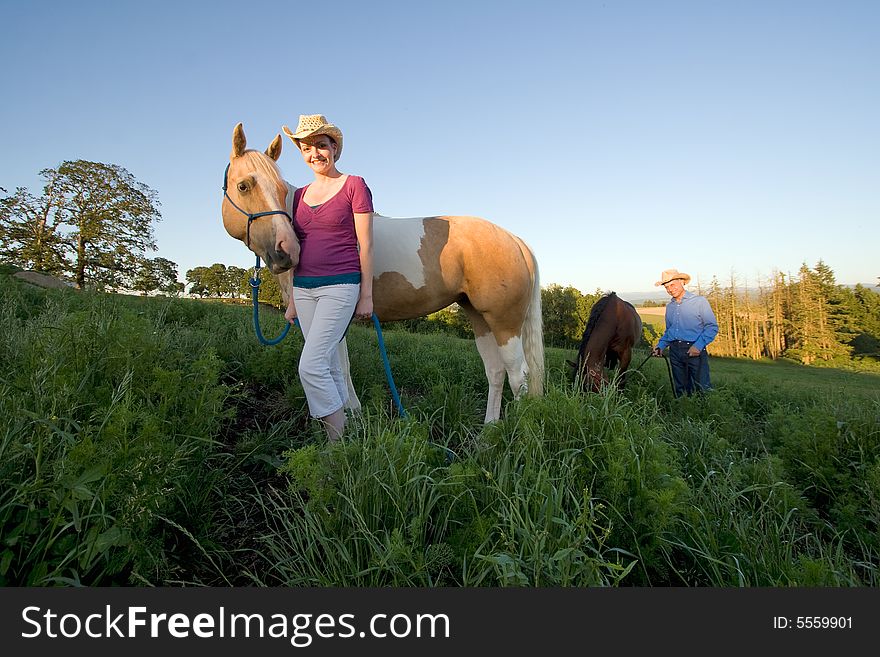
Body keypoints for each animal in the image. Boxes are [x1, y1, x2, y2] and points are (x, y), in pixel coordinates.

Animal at [220, 122, 544, 420]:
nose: (287, 251)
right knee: (496, 371)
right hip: (479, 318)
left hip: (504, 323)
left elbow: (338, 366)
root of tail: (514, 239)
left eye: (280, 189)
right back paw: (489, 429)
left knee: (519, 377)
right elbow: (337, 365)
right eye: (244, 186)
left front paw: (350, 415)